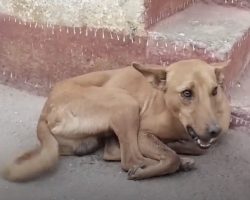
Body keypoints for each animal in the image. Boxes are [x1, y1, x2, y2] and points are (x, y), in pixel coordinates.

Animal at [2, 58, 230, 181]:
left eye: (214, 90)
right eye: (186, 93)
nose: (214, 130)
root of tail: (45, 110)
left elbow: (198, 148)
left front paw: (179, 146)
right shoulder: (142, 133)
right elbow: (171, 156)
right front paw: (174, 154)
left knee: (113, 152)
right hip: (125, 103)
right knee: (130, 160)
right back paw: (162, 165)